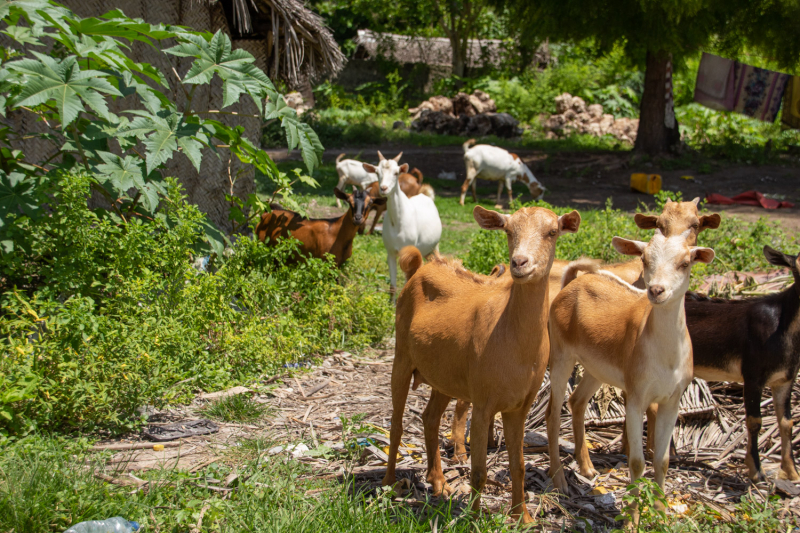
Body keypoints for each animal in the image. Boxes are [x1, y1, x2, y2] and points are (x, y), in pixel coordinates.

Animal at [364, 152, 444, 298]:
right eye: (377, 172)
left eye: (396, 173)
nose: (383, 188)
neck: (398, 222)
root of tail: (425, 194)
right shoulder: (390, 252)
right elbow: (392, 286)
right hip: (425, 251)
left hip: (435, 245)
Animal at [384, 205, 580, 524]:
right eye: (508, 231)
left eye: (552, 232)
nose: (520, 262)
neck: (512, 341)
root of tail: (419, 268)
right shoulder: (483, 401)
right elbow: (478, 471)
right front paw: (473, 520)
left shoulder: (519, 407)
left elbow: (518, 465)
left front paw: (523, 517)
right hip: (401, 355)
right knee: (397, 424)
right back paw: (389, 483)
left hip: (444, 374)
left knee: (429, 417)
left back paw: (439, 482)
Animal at [684, 245, 800, 482]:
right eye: (796, 269)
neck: (781, 325)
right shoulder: (753, 375)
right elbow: (755, 421)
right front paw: (756, 471)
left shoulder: (786, 379)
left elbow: (787, 423)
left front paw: (792, 472)